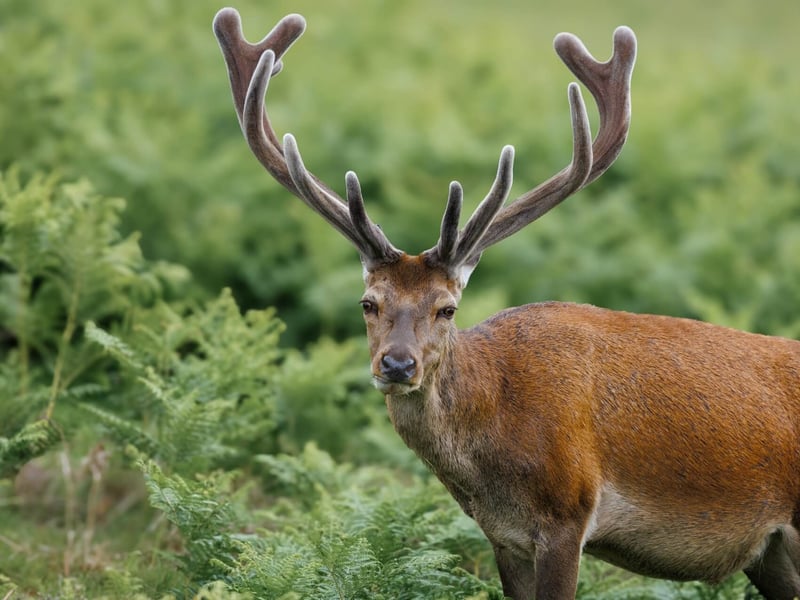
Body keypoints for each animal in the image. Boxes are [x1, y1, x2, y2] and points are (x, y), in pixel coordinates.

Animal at [213, 8, 800, 600]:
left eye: (447, 308)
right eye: (368, 303)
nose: (397, 364)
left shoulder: (568, 512)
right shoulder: (504, 536)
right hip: (770, 554)